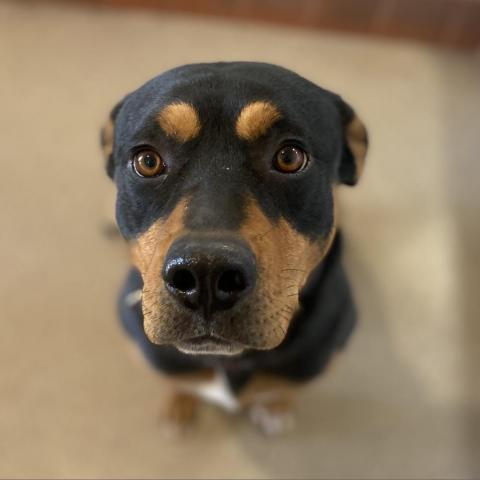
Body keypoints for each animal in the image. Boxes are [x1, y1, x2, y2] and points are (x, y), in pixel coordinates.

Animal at [99, 61, 366, 436]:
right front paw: (179, 402)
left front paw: (276, 407)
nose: (206, 273)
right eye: (147, 161)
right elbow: (177, 381)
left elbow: (282, 388)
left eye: (289, 156)